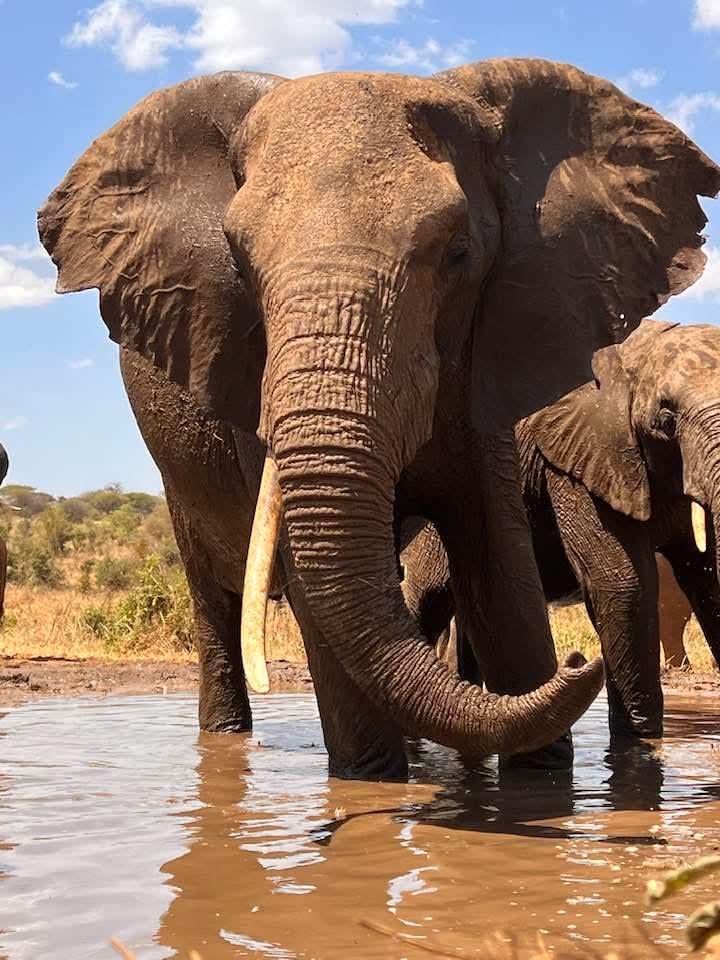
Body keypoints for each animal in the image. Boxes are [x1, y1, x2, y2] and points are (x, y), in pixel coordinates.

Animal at [38, 59, 719, 780]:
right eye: (237, 259)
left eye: (458, 253)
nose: (578, 660)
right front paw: (370, 789)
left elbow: (501, 563)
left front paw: (538, 784)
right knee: (218, 604)